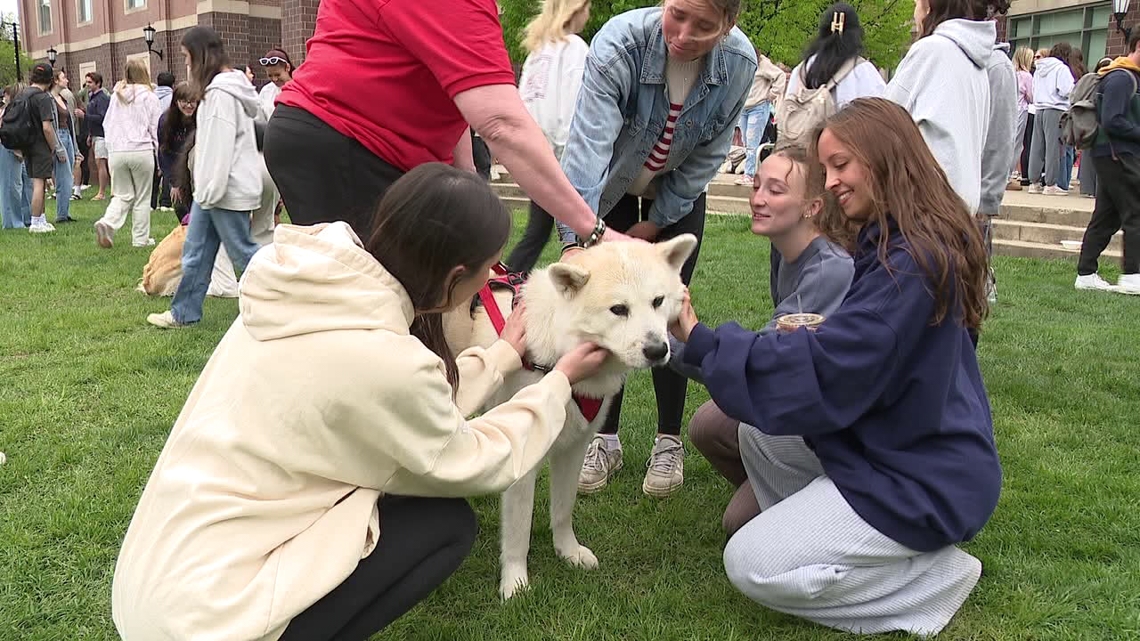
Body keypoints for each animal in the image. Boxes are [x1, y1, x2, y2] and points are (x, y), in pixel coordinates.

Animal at [443, 234, 698, 600]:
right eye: (618, 309)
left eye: (658, 301)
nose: (657, 350)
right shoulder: (523, 457)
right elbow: (518, 531)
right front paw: (515, 583)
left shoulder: (575, 447)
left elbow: (563, 509)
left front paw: (568, 552)